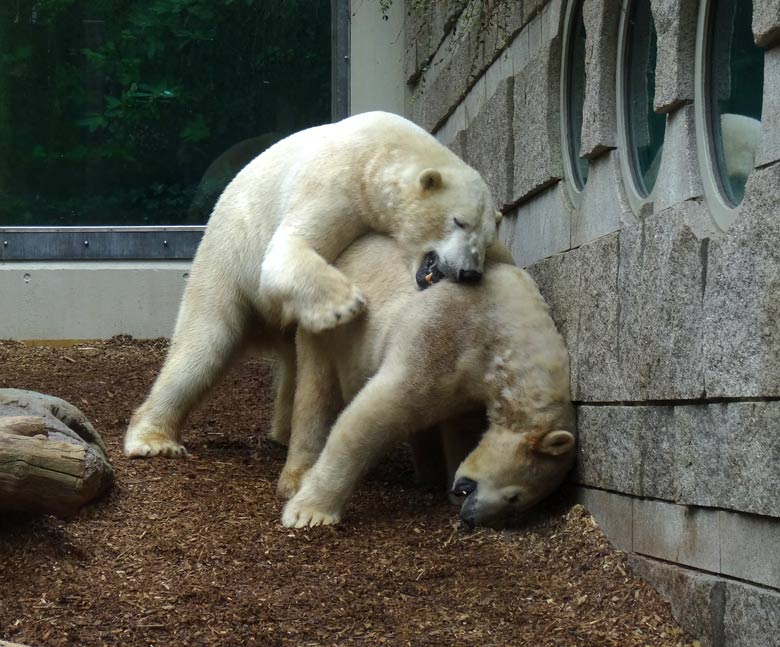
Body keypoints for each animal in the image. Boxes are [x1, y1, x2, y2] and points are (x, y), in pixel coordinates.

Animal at [122, 110, 500, 460]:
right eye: (459, 221)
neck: (382, 150)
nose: (469, 273)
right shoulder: (336, 181)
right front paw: (345, 306)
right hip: (226, 259)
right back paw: (153, 440)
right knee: (204, 344)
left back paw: (284, 430)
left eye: (486, 240)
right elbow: (284, 253)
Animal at [278, 235, 576, 528]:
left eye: (517, 504)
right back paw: (295, 477)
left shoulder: (469, 385)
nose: (471, 517)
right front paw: (309, 511)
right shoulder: (443, 332)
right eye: (515, 497)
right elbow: (373, 414)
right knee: (315, 389)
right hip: (327, 326)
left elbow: (460, 427)